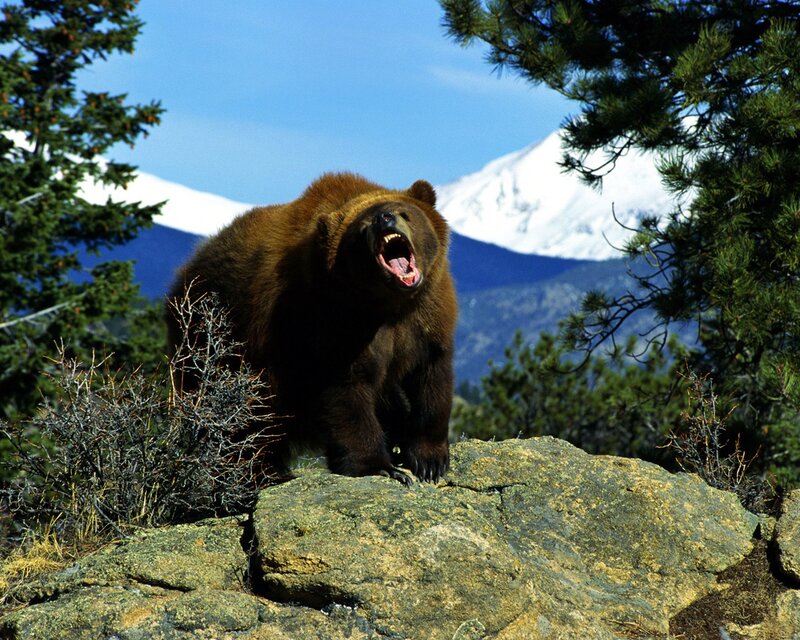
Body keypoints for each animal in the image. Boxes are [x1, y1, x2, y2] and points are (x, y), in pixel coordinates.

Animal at [166, 172, 457, 485]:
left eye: (404, 213)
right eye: (362, 227)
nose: (383, 218)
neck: (388, 303)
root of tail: (184, 273)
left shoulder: (427, 318)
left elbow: (431, 380)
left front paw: (429, 460)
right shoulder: (329, 321)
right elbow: (346, 391)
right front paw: (379, 466)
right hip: (218, 342)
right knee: (246, 418)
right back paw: (261, 472)